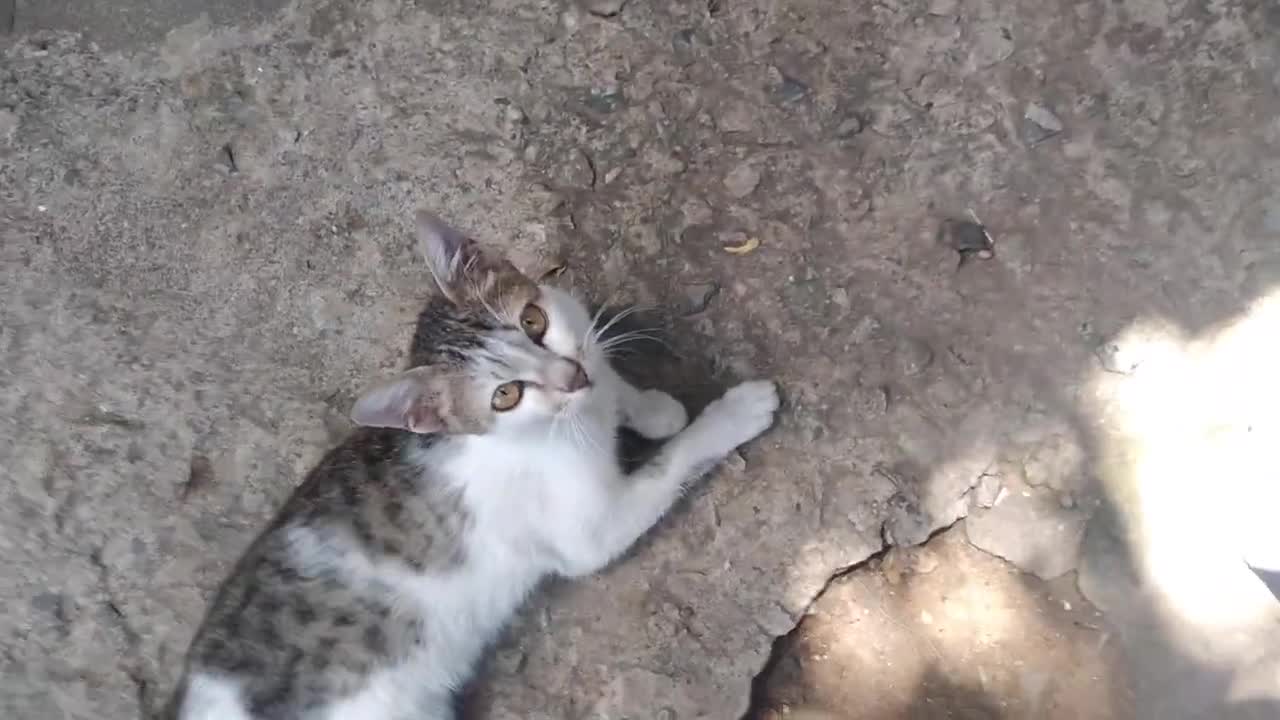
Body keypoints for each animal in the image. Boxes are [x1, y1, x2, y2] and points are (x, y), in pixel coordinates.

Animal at [165, 210, 773, 712]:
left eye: (534, 321)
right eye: (505, 395)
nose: (570, 377)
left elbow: (613, 384)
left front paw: (652, 408)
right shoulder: (586, 532)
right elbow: (669, 464)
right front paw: (734, 412)